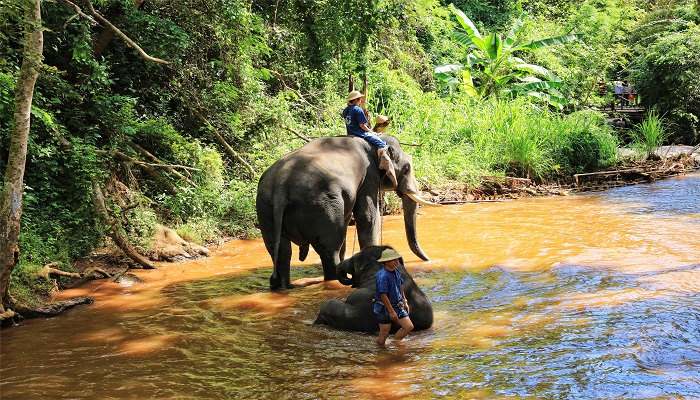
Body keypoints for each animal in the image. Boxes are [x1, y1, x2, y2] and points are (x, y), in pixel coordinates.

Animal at [258, 133, 438, 290]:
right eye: (407, 168)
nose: (429, 260)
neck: (375, 142)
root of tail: (282, 182)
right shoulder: (368, 177)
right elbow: (368, 217)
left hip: (266, 208)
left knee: (280, 250)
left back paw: (285, 287)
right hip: (320, 205)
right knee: (329, 248)